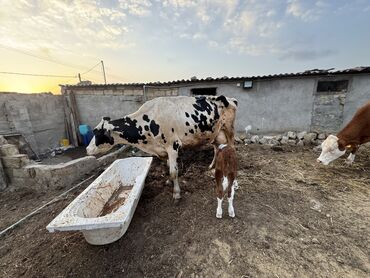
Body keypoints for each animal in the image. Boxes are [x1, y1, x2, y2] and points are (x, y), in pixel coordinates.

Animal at [86, 95, 237, 200]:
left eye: (96, 132)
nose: (87, 149)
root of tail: (230, 98)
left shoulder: (173, 146)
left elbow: (174, 171)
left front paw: (176, 193)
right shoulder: (162, 150)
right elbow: (168, 167)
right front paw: (169, 182)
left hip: (229, 129)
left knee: (232, 147)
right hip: (215, 133)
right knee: (217, 148)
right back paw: (212, 166)